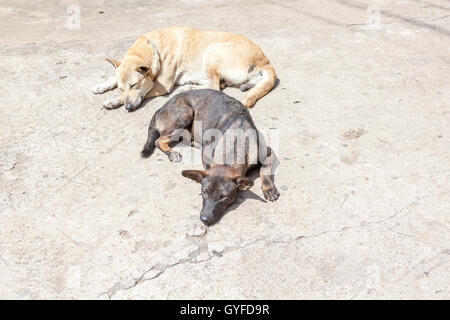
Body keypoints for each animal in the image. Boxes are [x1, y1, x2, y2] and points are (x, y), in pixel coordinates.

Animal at [91, 25, 276, 110]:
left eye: (134, 85)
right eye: (121, 88)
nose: (128, 108)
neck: (152, 47)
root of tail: (265, 61)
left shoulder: (162, 86)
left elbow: (144, 93)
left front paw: (114, 101)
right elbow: (114, 78)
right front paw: (102, 86)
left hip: (212, 51)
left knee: (215, 86)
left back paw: (189, 88)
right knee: (219, 84)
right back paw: (189, 86)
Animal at [142, 89, 280, 226]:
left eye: (224, 197)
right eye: (204, 192)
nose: (204, 219)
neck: (236, 143)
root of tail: (162, 107)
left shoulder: (267, 153)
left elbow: (265, 170)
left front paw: (268, 188)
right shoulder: (206, 154)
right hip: (186, 114)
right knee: (158, 140)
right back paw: (171, 152)